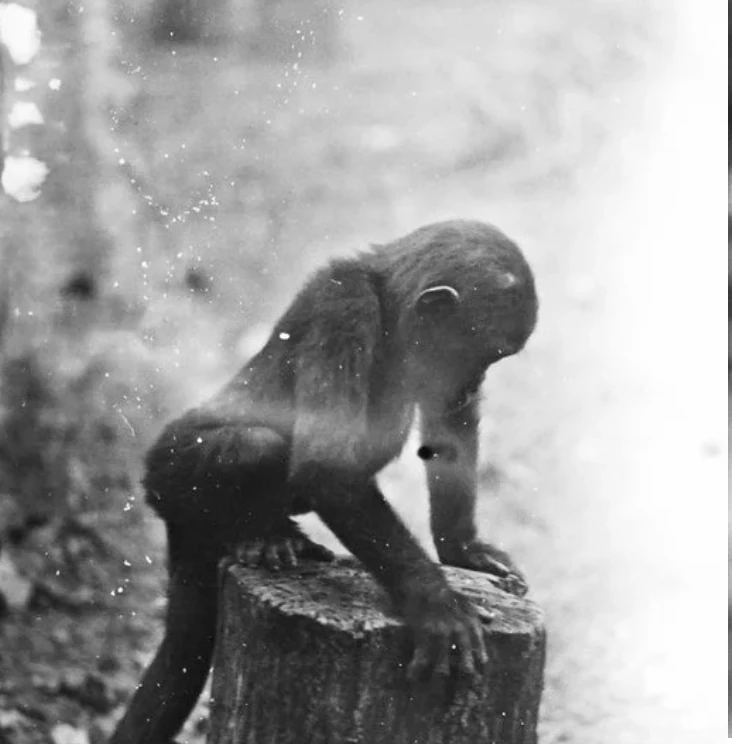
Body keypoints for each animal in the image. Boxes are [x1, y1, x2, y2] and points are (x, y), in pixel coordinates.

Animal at [110, 219, 538, 744]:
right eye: (485, 356)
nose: (473, 384)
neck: (387, 305)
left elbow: (448, 431)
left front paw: (464, 549)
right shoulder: (343, 309)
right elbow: (328, 467)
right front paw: (436, 604)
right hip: (171, 471)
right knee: (255, 444)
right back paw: (264, 537)